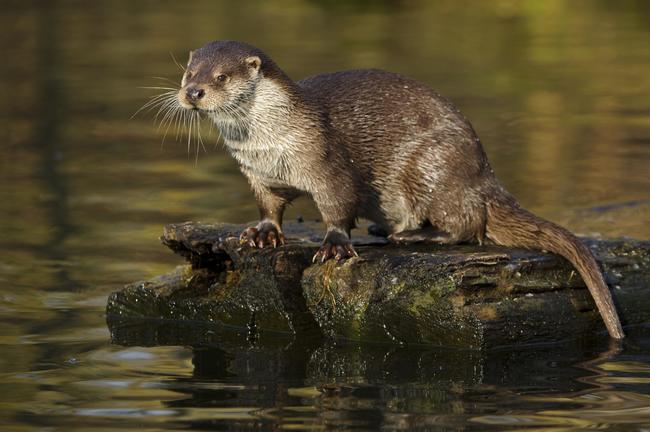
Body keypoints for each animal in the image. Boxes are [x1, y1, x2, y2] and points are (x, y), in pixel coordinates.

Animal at [173, 40, 624, 340]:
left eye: (221, 77)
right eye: (188, 73)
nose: (193, 92)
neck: (270, 143)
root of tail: (485, 175)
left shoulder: (327, 162)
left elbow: (339, 205)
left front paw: (335, 245)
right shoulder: (257, 174)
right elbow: (270, 206)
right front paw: (262, 233)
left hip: (431, 167)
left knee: (467, 224)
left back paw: (412, 234)